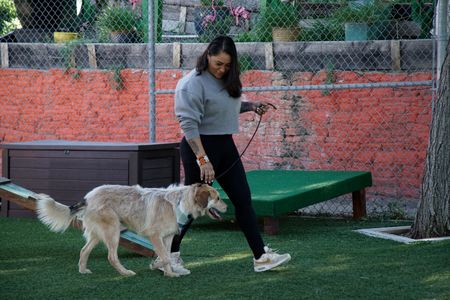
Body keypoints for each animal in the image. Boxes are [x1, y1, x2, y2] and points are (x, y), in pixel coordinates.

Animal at [35, 184, 227, 278]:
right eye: (217, 198)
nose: (226, 206)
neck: (180, 201)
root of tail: (88, 197)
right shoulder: (154, 235)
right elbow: (164, 257)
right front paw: (156, 266)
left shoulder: (168, 237)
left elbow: (166, 256)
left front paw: (169, 273)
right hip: (113, 232)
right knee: (111, 257)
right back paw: (125, 273)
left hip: (99, 234)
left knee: (84, 251)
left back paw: (83, 271)